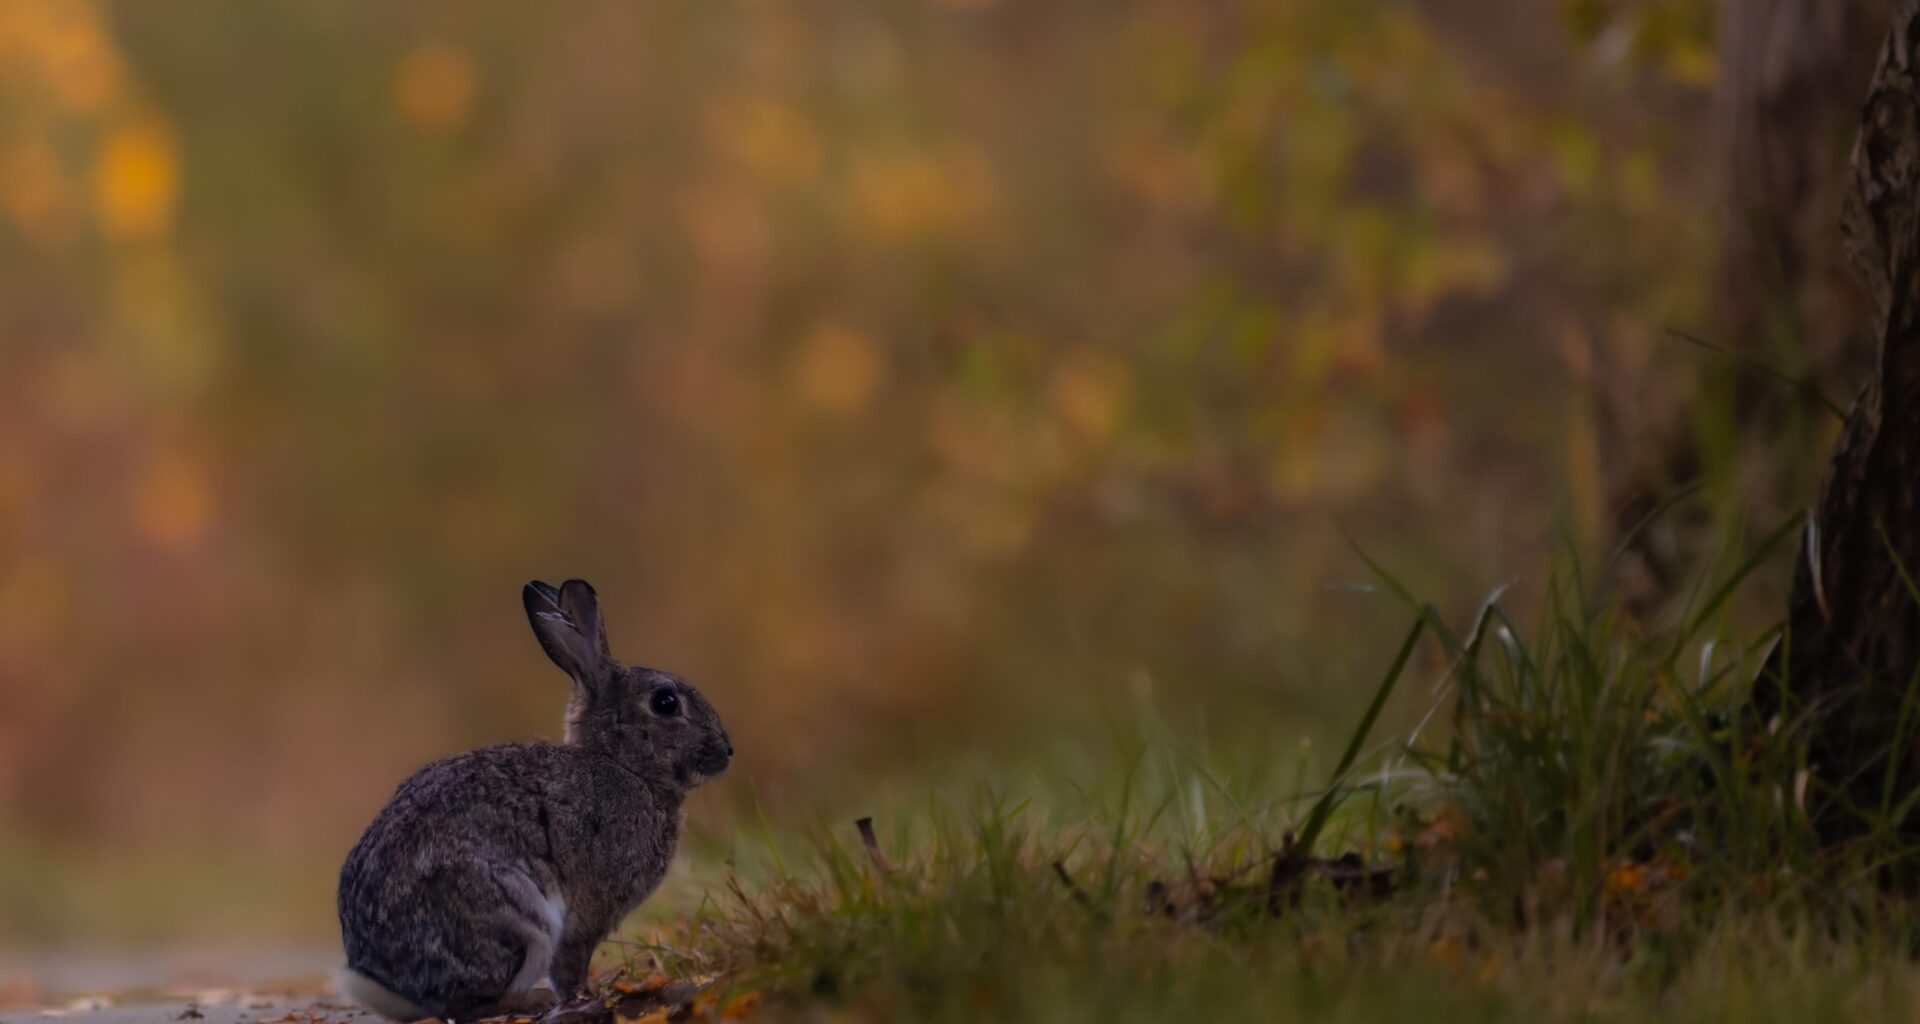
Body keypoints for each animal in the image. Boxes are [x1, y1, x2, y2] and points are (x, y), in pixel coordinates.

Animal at [334, 580, 729, 1014]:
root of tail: (396, 985)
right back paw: (536, 1000)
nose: (727, 750)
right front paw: (586, 997)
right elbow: (572, 959)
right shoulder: (589, 911)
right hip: (521, 916)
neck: (624, 765)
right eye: (665, 702)